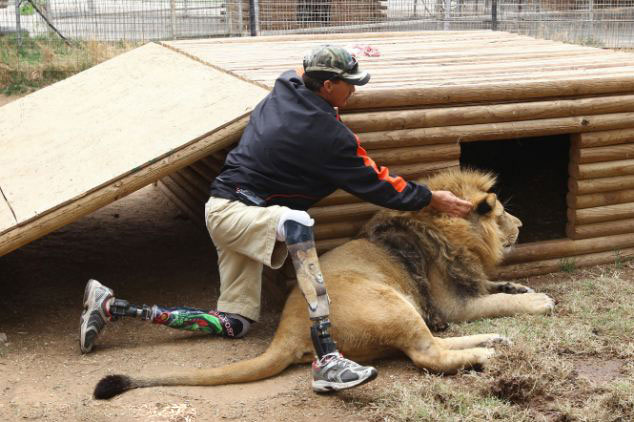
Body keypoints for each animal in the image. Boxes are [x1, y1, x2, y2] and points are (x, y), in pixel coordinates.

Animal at [92, 168, 552, 398]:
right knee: (428, 353)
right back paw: (486, 354)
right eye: (502, 215)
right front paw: (541, 301)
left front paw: (524, 289)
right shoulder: (451, 303)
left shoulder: (467, 287)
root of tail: (288, 330)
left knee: (435, 343)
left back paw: (494, 341)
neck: (457, 237)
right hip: (390, 301)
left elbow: (501, 290)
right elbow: (497, 303)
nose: (522, 226)